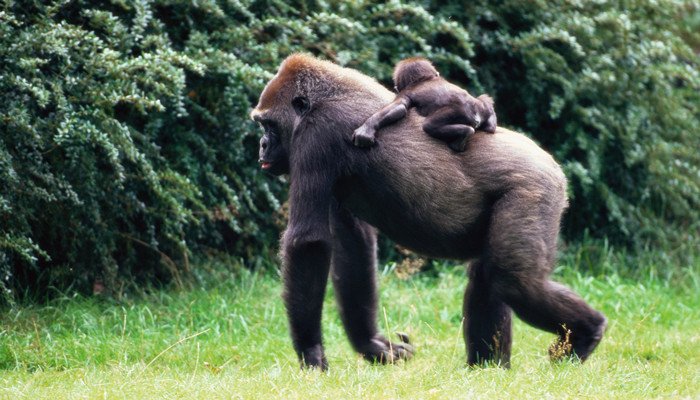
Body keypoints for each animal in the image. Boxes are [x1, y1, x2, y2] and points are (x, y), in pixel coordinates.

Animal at [352, 58, 494, 152]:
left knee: (429, 125)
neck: (424, 79)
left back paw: (463, 137)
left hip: (459, 113)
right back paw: (490, 125)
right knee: (485, 100)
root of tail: (476, 115)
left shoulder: (405, 92)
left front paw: (367, 128)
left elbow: (399, 107)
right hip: (481, 107)